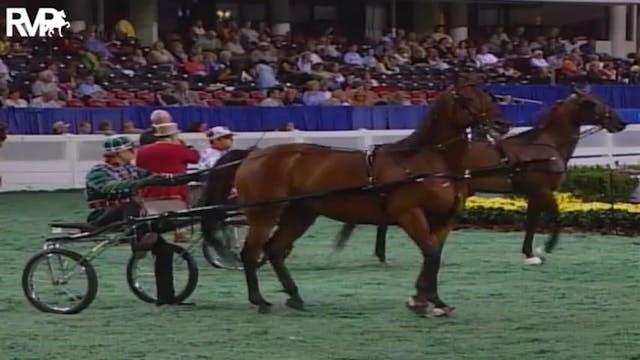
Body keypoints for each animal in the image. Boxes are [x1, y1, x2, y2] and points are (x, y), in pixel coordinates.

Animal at [202, 76, 512, 316]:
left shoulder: (442, 220)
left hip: (301, 213)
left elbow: (433, 257)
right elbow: (431, 254)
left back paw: (295, 296)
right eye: (467, 99)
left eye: (488, 96)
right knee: (251, 253)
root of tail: (252, 154)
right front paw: (422, 301)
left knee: (275, 250)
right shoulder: (410, 214)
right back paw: (260, 301)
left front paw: (431, 300)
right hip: (264, 214)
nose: (502, 125)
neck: (423, 160)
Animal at [338, 88, 628, 264]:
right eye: (592, 103)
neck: (543, 146)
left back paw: (381, 255)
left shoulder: (532, 194)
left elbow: (532, 221)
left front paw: (528, 252)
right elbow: (555, 216)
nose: (620, 123)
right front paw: (543, 249)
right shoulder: (542, 190)